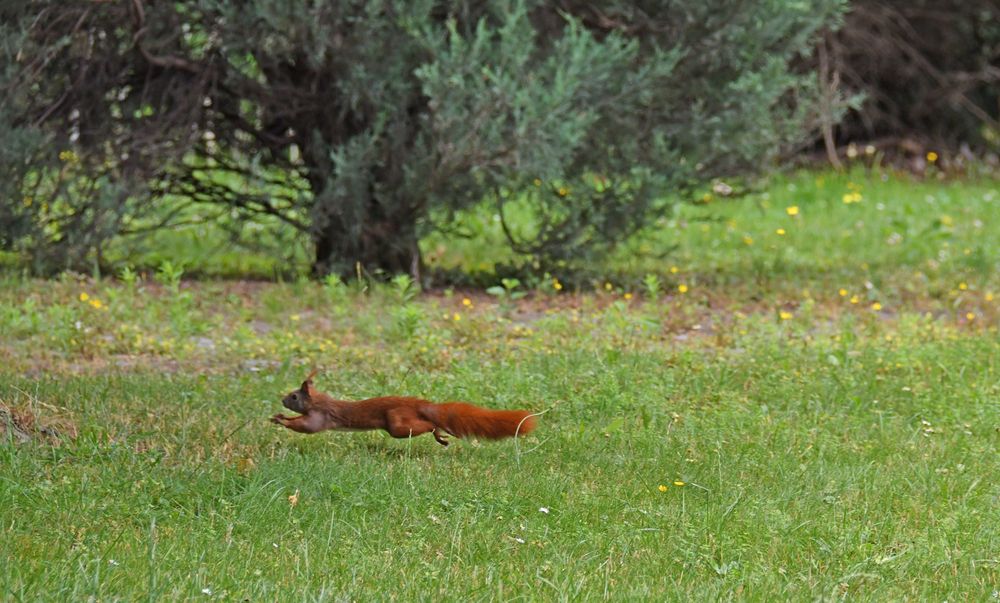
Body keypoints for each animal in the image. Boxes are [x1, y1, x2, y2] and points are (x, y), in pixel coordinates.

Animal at [272, 370, 540, 446]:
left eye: (294, 396)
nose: (283, 401)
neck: (319, 400)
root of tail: (422, 405)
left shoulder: (321, 416)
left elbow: (306, 426)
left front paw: (281, 419)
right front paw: (279, 416)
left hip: (397, 423)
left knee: (426, 425)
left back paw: (439, 432)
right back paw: (441, 436)